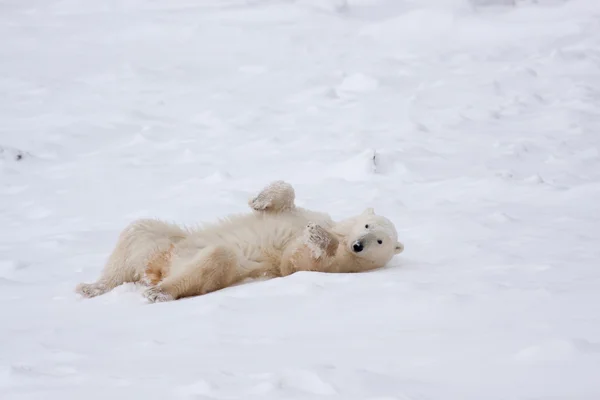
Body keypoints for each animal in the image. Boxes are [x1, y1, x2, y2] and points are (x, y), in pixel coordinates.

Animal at [74, 180, 404, 302]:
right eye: (367, 225)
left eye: (379, 242)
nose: (358, 244)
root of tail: (157, 270)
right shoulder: (306, 214)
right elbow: (284, 203)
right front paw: (259, 199)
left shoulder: (336, 265)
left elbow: (294, 261)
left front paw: (317, 237)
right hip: (167, 244)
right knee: (138, 230)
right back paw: (91, 287)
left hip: (217, 268)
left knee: (217, 258)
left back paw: (159, 291)